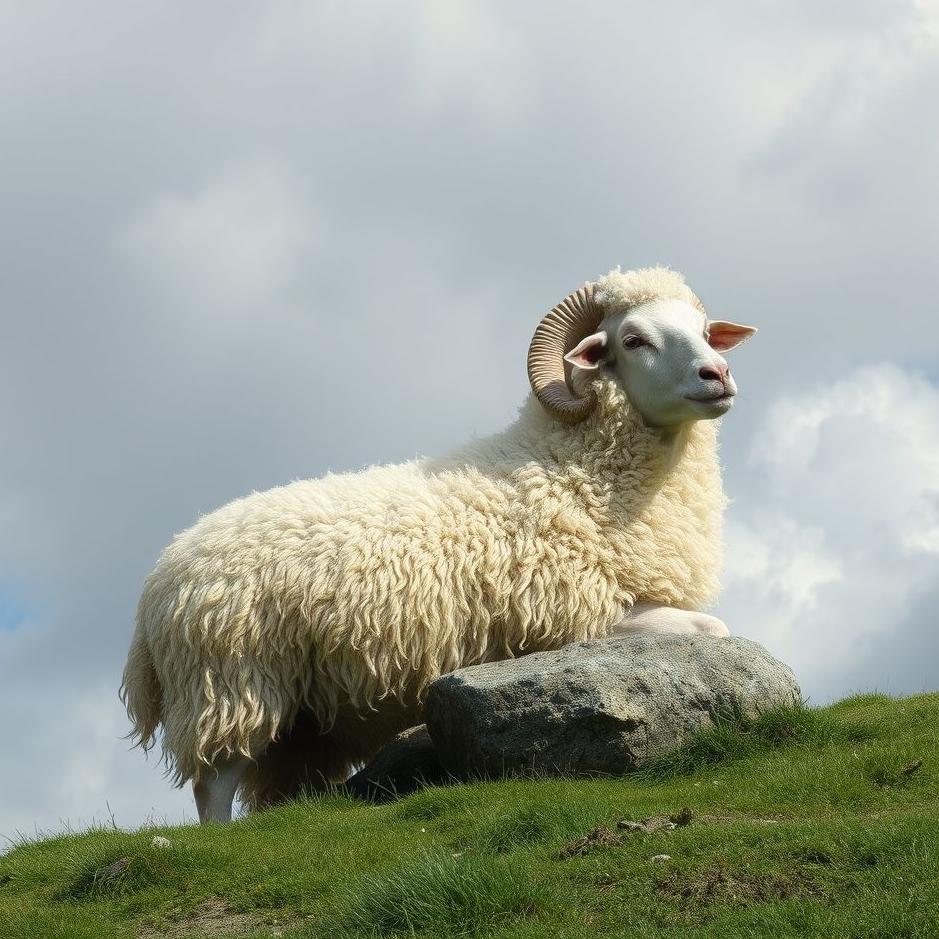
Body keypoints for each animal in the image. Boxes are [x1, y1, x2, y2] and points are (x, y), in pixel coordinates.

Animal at [121, 265, 757, 823]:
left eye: (704, 330)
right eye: (633, 339)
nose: (718, 375)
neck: (568, 467)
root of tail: (158, 579)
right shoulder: (581, 614)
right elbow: (715, 629)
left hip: (297, 723)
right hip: (231, 683)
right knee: (212, 786)